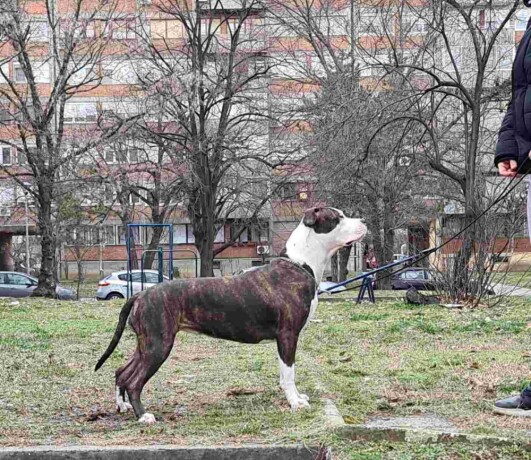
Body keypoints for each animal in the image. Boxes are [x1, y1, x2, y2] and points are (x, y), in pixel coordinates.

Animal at [96, 207, 366, 422]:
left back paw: (122, 406)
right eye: (337, 218)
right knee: (134, 381)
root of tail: (141, 294)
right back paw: (143, 416)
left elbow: (286, 372)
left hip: (146, 344)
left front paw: (298, 397)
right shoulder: (288, 335)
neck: (301, 263)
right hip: (158, 345)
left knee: (122, 372)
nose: (363, 220)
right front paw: (295, 402)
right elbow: (289, 373)